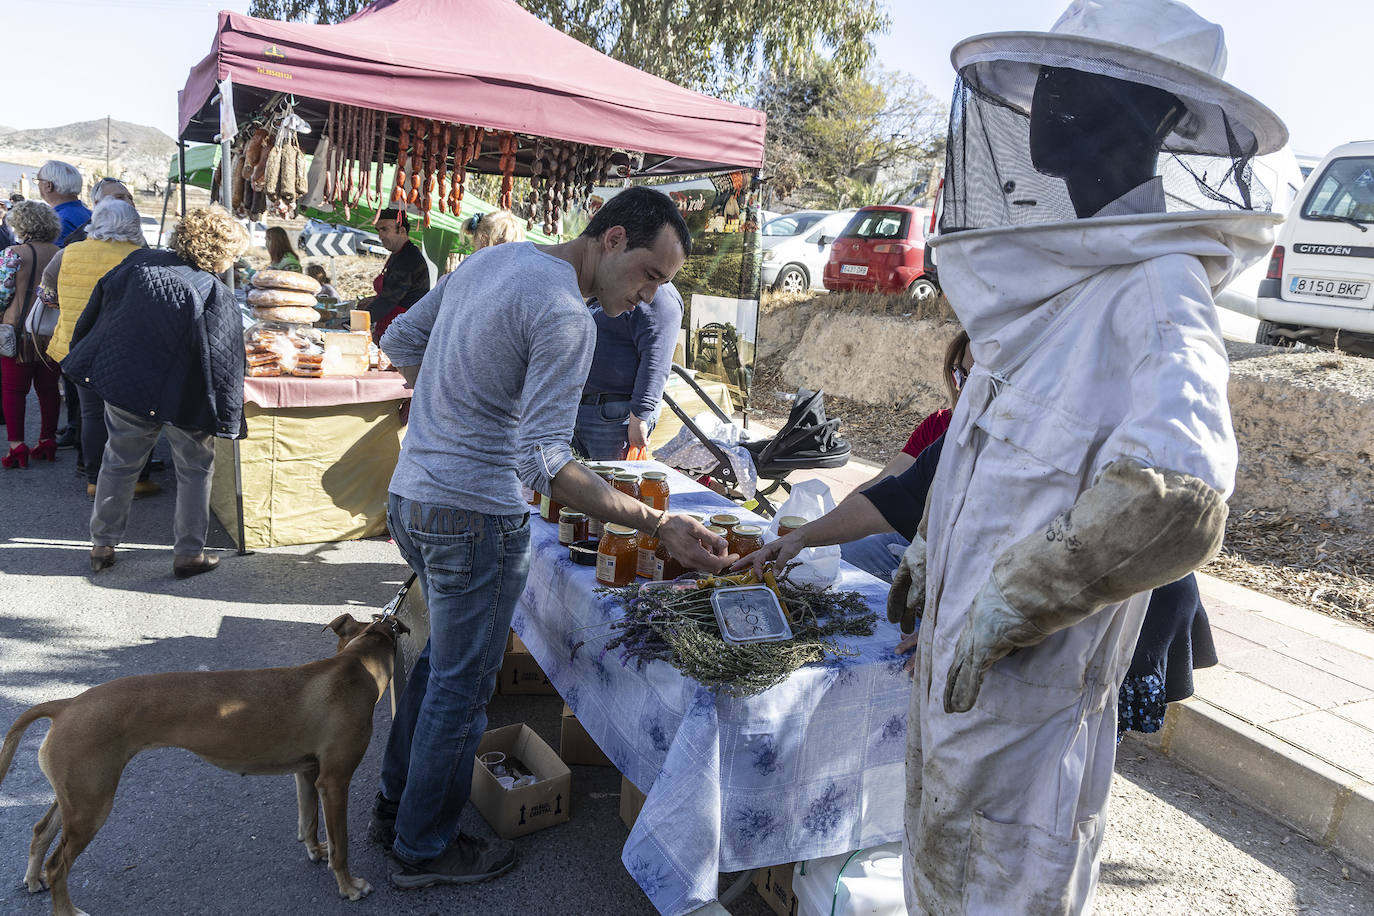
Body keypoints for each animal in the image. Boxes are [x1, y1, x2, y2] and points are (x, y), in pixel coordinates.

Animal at [0, 609, 406, 916]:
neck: (356, 661)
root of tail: (67, 704)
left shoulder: (307, 774)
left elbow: (308, 822)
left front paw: (316, 850)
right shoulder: (334, 782)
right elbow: (343, 845)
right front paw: (349, 886)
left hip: (77, 797)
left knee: (41, 831)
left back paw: (33, 878)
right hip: (91, 807)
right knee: (59, 865)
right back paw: (66, 908)